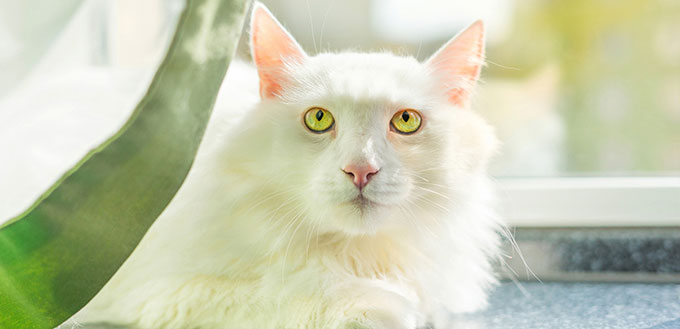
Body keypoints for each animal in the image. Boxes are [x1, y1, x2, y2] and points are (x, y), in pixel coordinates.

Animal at [71, 3, 502, 328]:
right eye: (318, 119)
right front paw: (384, 307)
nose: (361, 170)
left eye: (406, 121)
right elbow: (298, 291)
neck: (353, 253)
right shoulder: (167, 292)